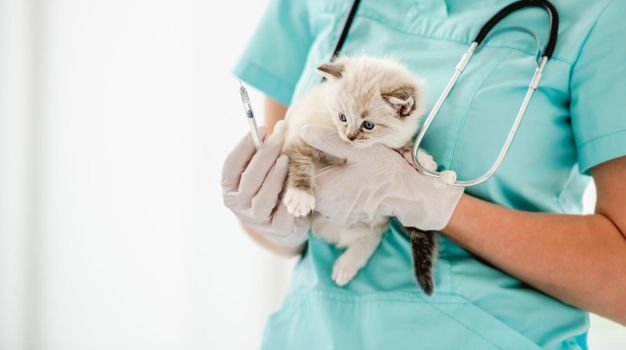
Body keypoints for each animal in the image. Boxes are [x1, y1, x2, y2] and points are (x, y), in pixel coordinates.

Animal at [280, 56, 436, 292]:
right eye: (342, 117)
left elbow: (401, 148)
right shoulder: (301, 135)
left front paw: (421, 158)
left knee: (371, 236)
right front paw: (301, 195)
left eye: (368, 125)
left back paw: (346, 266)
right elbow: (301, 161)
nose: (349, 137)